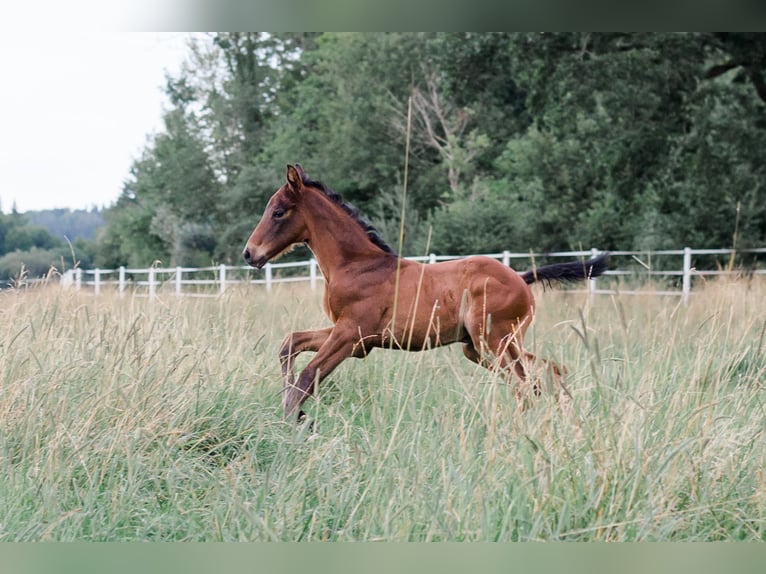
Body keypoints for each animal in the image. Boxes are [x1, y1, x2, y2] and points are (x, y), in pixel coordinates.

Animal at [243, 164, 609, 420]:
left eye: (278, 212)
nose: (249, 254)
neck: (357, 265)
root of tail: (520, 278)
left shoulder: (351, 335)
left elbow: (307, 376)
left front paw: (293, 421)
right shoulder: (349, 335)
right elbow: (289, 343)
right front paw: (294, 414)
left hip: (494, 342)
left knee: (526, 385)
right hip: (481, 347)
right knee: (548, 372)